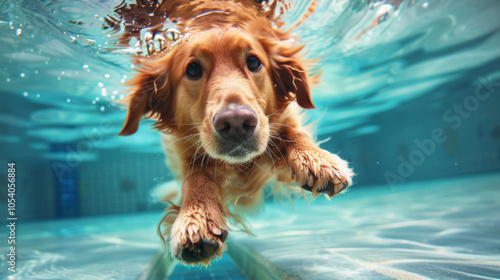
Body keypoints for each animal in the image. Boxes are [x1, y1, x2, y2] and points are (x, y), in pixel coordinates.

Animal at [111, 0, 354, 264]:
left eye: (254, 62)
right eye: (193, 69)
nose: (236, 122)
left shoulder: (284, 122)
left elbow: (293, 133)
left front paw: (317, 160)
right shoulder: (186, 156)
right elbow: (195, 179)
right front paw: (195, 217)